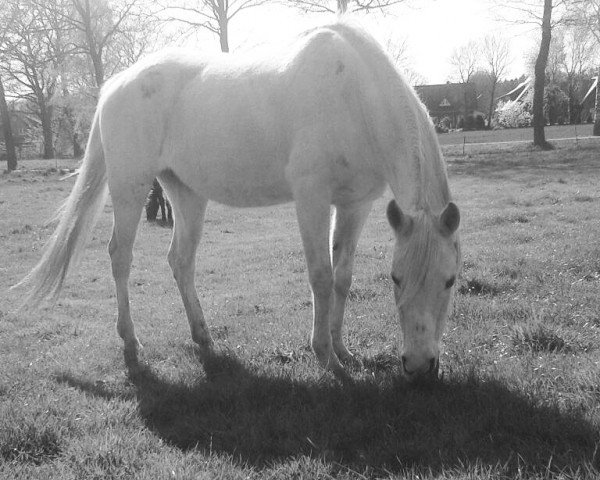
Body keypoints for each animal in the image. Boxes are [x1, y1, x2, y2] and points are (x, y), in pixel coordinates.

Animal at [16, 21, 462, 382]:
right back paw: (131, 341)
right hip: (130, 186)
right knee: (120, 256)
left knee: (180, 260)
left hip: (186, 193)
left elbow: (343, 277)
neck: (354, 92)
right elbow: (320, 276)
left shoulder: (355, 204)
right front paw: (325, 358)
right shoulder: (311, 198)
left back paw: (202, 336)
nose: (419, 366)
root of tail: (115, 84)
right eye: (397, 279)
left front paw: (343, 349)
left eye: (450, 280)